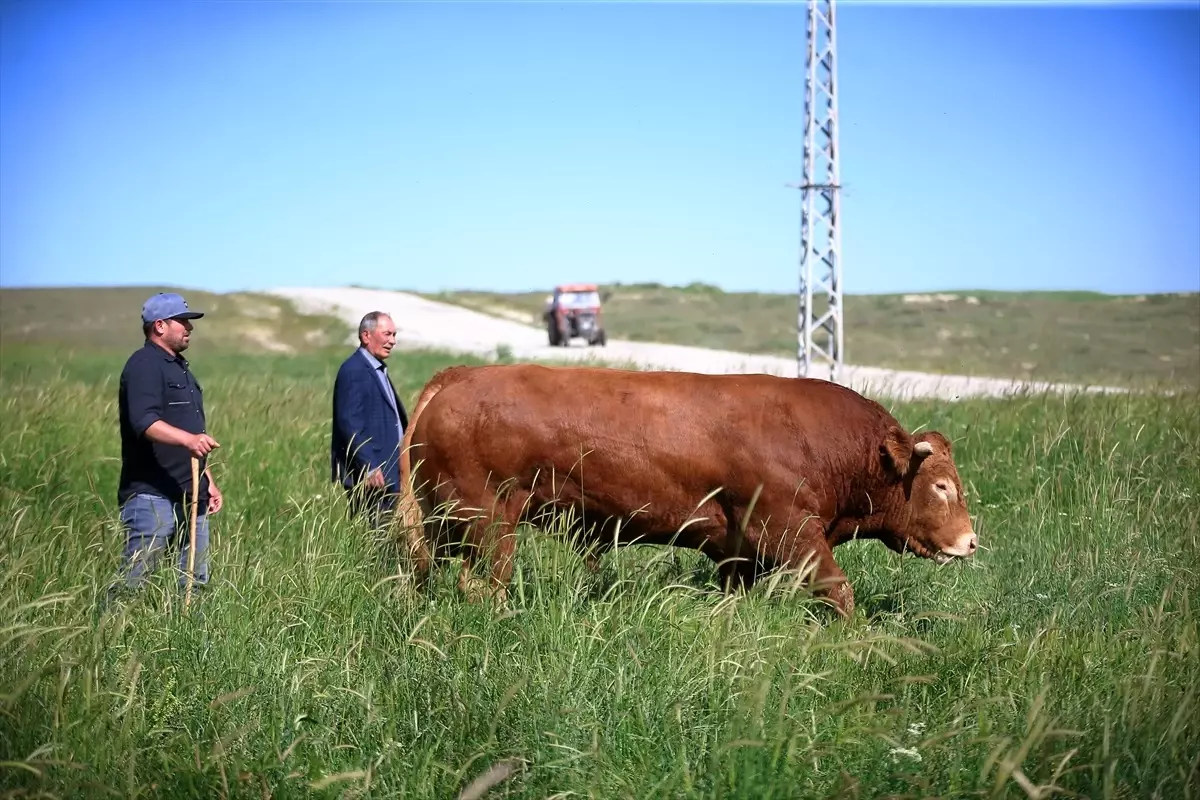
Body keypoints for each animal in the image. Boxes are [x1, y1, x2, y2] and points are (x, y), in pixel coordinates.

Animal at [398, 362, 979, 618]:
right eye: (942, 486)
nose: (971, 541)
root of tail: (462, 375)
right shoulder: (791, 534)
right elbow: (839, 590)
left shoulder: (739, 552)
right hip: (488, 523)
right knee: (483, 585)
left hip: (447, 525)